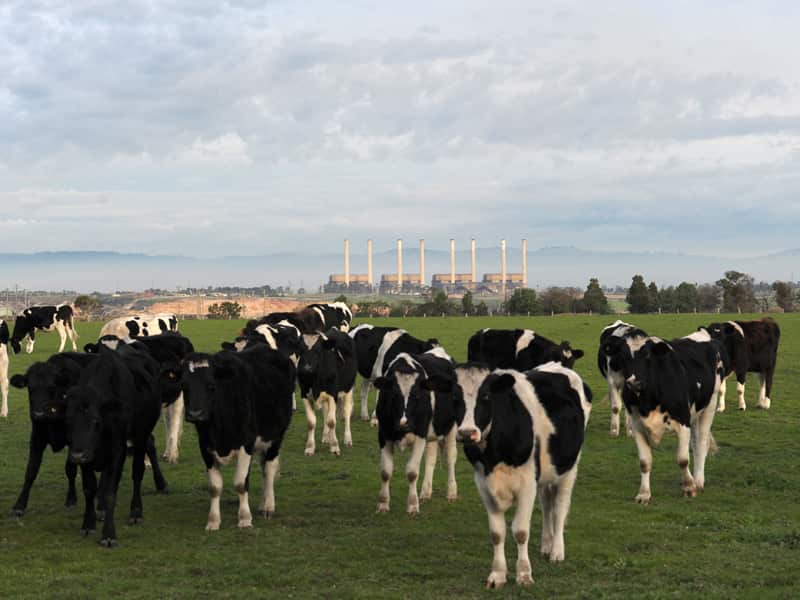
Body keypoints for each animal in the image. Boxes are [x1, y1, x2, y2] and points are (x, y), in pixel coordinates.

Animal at [65, 349, 168, 547]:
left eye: (95, 421)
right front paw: (88, 523)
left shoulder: (118, 451)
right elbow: (89, 489)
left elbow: (111, 492)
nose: (77, 456)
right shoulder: (88, 456)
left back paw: (136, 511)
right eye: (68, 421)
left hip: (141, 434)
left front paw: (108, 535)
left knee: (138, 470)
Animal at [179, 344, 295, 530]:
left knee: (269, 469)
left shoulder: (246, 444)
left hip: (277, 436)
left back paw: (268, 506)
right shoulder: (205, 446)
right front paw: (213, 521)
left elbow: (241, 484)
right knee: (263, 467)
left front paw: (245, 518)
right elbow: (215, 487)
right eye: (184, 385)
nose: (195, 414)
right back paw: (263, 504)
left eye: (211, 385)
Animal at [372, 346, 462, 514]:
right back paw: (426, 492)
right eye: (393, 395)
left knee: (451, 457)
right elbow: (385, 472)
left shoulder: (420, 434)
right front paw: (383, 504)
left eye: (418, 395)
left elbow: (412, 472)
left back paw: (452, 492)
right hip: (431, 433)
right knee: (431, 459)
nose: (404, 423)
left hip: (451, 426)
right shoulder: (384, 434)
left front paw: (413, 505)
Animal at [456, 363, 592, 589]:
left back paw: (556, 551)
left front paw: (524, 574)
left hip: (569, 467)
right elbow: (497, 533)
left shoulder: (527, 483)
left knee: (560, 508)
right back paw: (546, 544)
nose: (467, 433)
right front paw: (497, 575)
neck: (494, 456)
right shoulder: (483, 483)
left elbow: (520, 531)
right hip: (545, 474)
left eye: (486, 396)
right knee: (547, 505)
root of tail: (557, 366)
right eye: (453, 395)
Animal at [623, 331, 725, 504]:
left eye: (648, 355)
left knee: (701, 444)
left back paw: (698, 481)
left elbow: (682, 459)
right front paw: (644, 494)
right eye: (625, 357)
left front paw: (689, 488)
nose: (633, 383)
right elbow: (644, 462)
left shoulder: (683, 422)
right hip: (694, 415)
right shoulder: (637, 426)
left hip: (710, 404)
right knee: (695, 443)